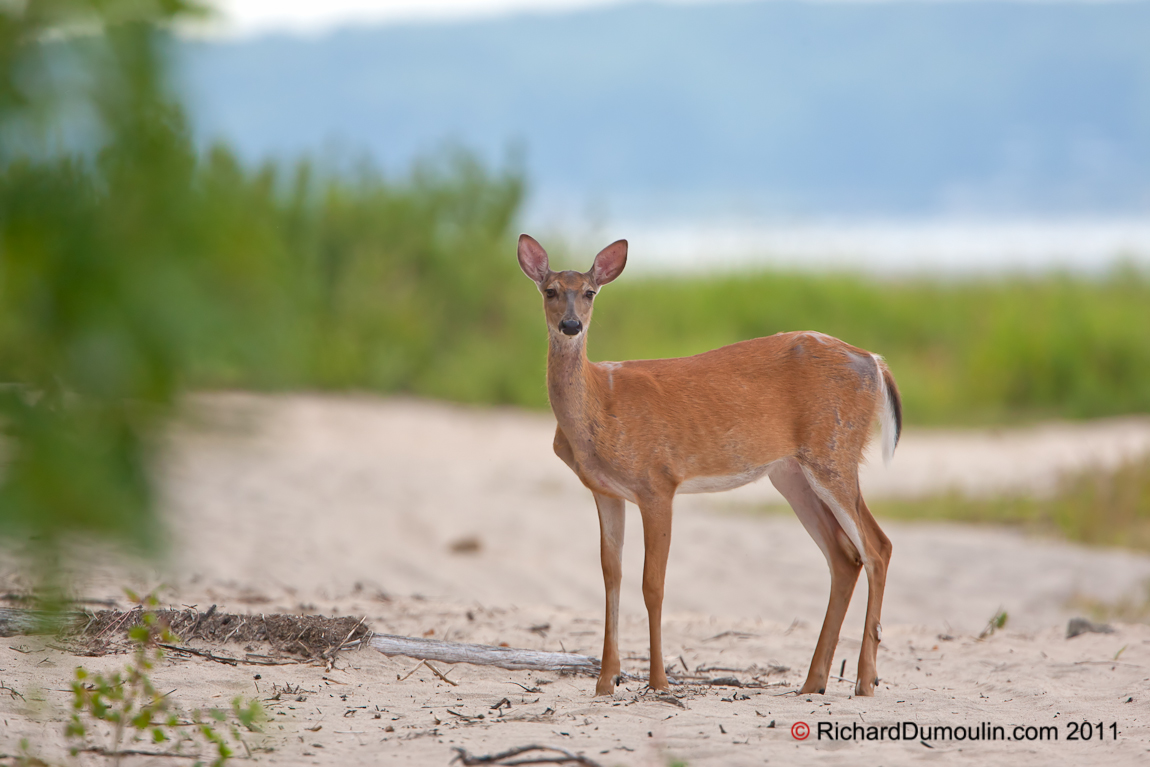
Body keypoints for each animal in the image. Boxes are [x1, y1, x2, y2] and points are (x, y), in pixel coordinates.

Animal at [517, 232, 901, 694]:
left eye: (590, 292)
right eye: (550, 290)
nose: (571, 326)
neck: (599, 406)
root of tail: (875, 361)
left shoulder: (658, 481)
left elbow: (653, 584)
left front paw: (659, 683)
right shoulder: (606, 491)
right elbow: (612, 575)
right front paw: (606, 682)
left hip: (833, 452)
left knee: (878, 547)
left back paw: (864, 680)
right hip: (791, 473)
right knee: (845, 558)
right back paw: (813, 683)